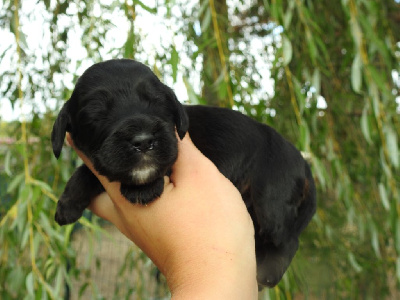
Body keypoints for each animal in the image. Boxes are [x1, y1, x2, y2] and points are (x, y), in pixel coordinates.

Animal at [52, 59, 316, 288]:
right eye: (96, 112)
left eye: (157, 101)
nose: (143, 141)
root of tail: (303, 163)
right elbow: (88, 171)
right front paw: (68, 203)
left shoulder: (175, 145)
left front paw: (142, 188)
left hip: (271, 205)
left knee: (289, 240)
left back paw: (267, 273)